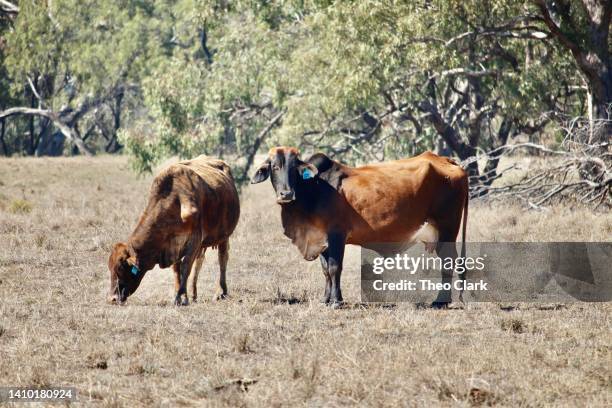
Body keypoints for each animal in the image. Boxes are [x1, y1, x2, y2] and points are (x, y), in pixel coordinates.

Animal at [107, 156, 239, 306]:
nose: (112, 299)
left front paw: (180, 295)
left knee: (222, 259)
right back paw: (193, 294)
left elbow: (186, 267)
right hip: (204, 244)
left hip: (224, 236)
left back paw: (221, 292)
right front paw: (180, 296)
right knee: (199, 263)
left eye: (121, 268)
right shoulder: (173, 245)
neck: (175, 201)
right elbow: (177, 269)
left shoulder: (195, 239)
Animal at [252, 148, 468, 308]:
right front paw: (325, 299)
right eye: (274, 167)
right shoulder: (321, 238)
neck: (314, 188)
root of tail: (448, 161)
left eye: (294, 168)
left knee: (448, 261)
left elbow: (334, 268)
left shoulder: (337, 235)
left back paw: (440, 301)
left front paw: (337, 301)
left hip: (448, 228)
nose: (286, 194)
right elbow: (325, 270)